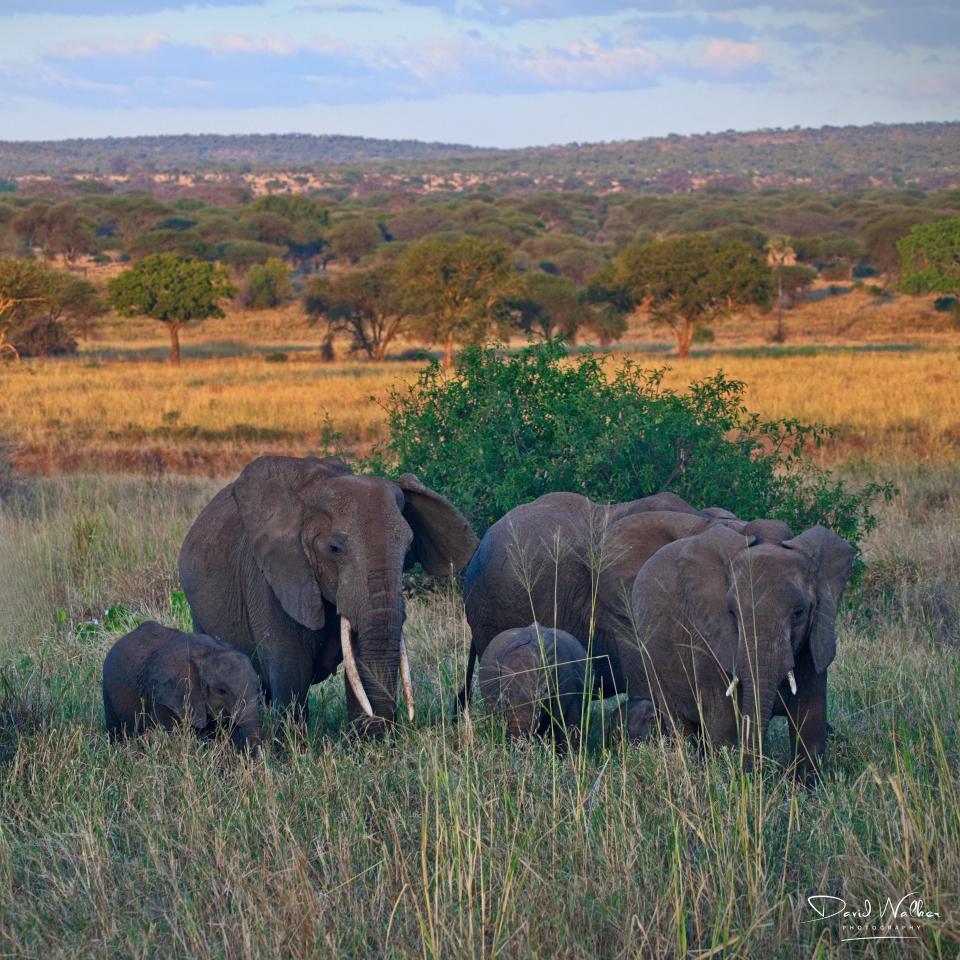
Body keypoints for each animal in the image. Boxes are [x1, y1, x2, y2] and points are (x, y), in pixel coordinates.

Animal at [624, 522, 855, 780]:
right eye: (732, 613)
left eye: (799, 613)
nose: (756, 775)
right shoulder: (707, 636)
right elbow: (725, 721)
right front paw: (732, 780)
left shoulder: (815, 638)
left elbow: (810, 720)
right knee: (679, 724)